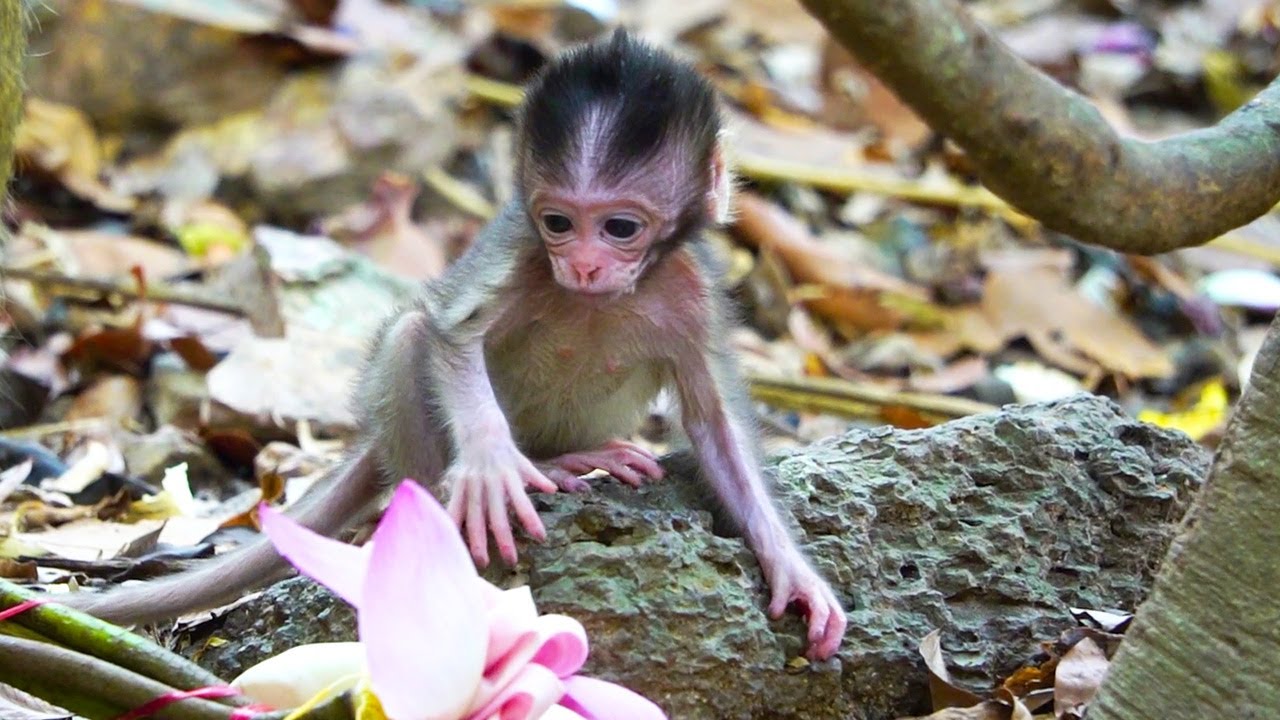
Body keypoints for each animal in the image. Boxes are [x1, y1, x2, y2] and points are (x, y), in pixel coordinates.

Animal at [60, 30, 848, 661]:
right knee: (412, 340)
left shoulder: (690, 294)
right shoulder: (523, 255)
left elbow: (716, 423)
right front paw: (491, 462)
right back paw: (511, 478)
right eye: (559, 223)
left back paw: (573, 457)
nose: (583, 265)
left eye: (620, 228)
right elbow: (451, 338)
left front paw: (795, 570)